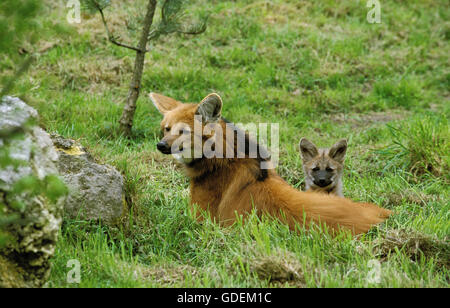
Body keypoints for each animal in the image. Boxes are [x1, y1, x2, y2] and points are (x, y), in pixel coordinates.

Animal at [150, 92, 390, 235]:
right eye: (167, 129)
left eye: (183, 132)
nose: (161, 145)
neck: (222, 160)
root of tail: (383, 215)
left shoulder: (202, 220)